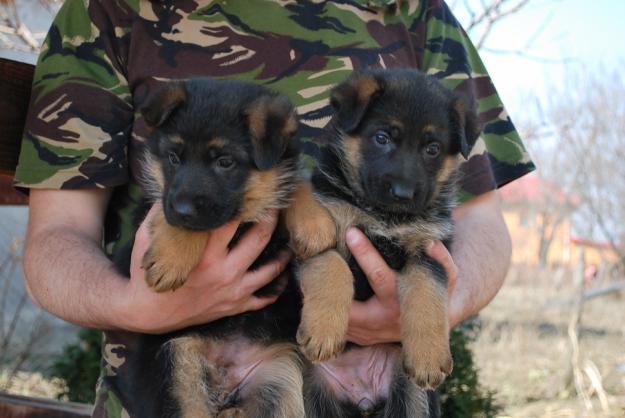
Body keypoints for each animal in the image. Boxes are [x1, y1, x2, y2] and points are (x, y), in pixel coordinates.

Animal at [112, 79, 308, 418]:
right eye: (174, 158)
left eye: (225, 162)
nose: (182, 210)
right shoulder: (153, 209)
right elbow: (168, 214)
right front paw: (171, 257)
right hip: (176, 369)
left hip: (282, 384)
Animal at [286, 67, 480, 416]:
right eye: (382, 138)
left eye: (432, 148)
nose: (403, 194)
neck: (384, 216)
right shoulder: (321, 232)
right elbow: (333, 267)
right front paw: (323, 330)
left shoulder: (430, 249)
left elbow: (428, 295)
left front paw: (428, 356)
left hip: (411, 399)